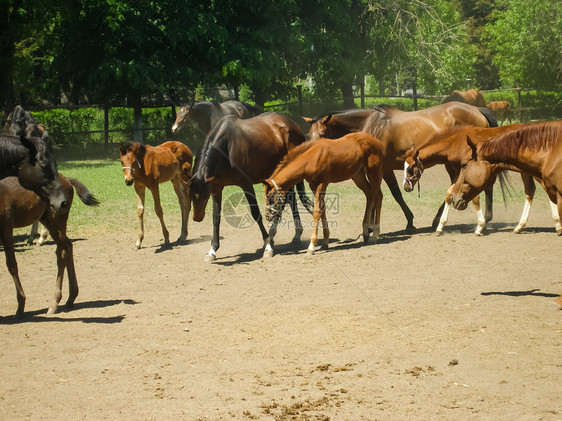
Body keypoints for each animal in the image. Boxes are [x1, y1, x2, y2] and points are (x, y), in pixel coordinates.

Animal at [0, 173, 98, 316]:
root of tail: (66, 179)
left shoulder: (6, 225)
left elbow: (11, 264)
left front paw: (21, 306)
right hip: (46, 218)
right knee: (68, 245)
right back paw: (71, 298)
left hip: (57, 217)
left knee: (62, 251)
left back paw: (54, 303)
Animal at [189, 113, 312, 260]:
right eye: (190, 195)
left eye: (204, 196)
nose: (197, 217)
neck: (227, 148)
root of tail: (293, 125)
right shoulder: (216, 187)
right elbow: (216, 217)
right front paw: (212, 250)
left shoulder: (246, 184)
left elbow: (255, 213)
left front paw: (268, 245)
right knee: (289, 199)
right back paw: (295, 234)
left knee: (284, 201)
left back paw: (275, 234)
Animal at [302, 102, 494, 233]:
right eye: (308, 135)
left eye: (322, 134)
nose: (312, 156)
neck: (369, 125)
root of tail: (477, 110)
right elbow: (376, 192)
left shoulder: (384, 169)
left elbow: (392, 193)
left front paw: (406, 222)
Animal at [400, 124, 548, 235]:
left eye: (410, 168)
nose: (406, 186)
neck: (455, 142)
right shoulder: (458, 173)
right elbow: (450, 194)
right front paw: (440, 226)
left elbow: (474, 197)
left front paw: (480, 226)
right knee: (532, 189)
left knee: (531, 190)